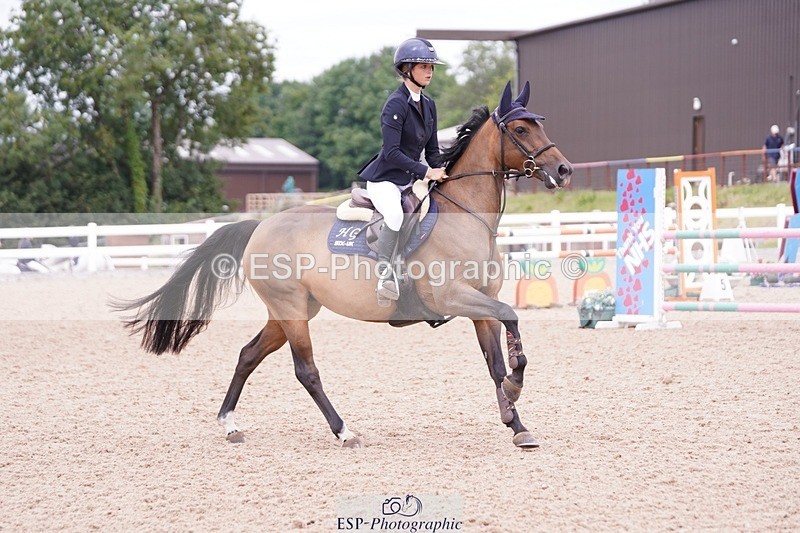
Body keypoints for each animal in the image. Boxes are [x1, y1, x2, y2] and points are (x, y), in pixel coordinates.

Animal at [113, 81, 573, 449]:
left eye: (541, 125)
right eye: (520, 129)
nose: (564, 170)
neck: (469, 215)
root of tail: (261, 225)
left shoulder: (480, 304)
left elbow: (496, 361)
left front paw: (516, 422)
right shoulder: (454, 297)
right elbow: (512, 318)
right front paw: (516, 388)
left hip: (290, 311)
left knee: (247, 355)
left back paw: (230, 425)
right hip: (292, 310)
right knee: (306, 370)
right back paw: (344, 431)